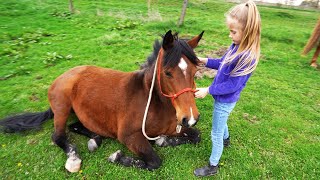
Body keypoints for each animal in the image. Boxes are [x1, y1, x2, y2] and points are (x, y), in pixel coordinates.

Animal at [0, 30, 204, 172]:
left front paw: (163, 140)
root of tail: (64, 75)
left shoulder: (174, 128)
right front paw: (117, 157)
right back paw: (74, 159)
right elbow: (154, 161)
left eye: (195, 71)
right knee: (58, 136)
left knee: (75, 126)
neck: (150, 100)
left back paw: (95, 140)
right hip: (62, 108)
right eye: (168, 73)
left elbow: (196, 136)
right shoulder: (128, 136)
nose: (190, 118)